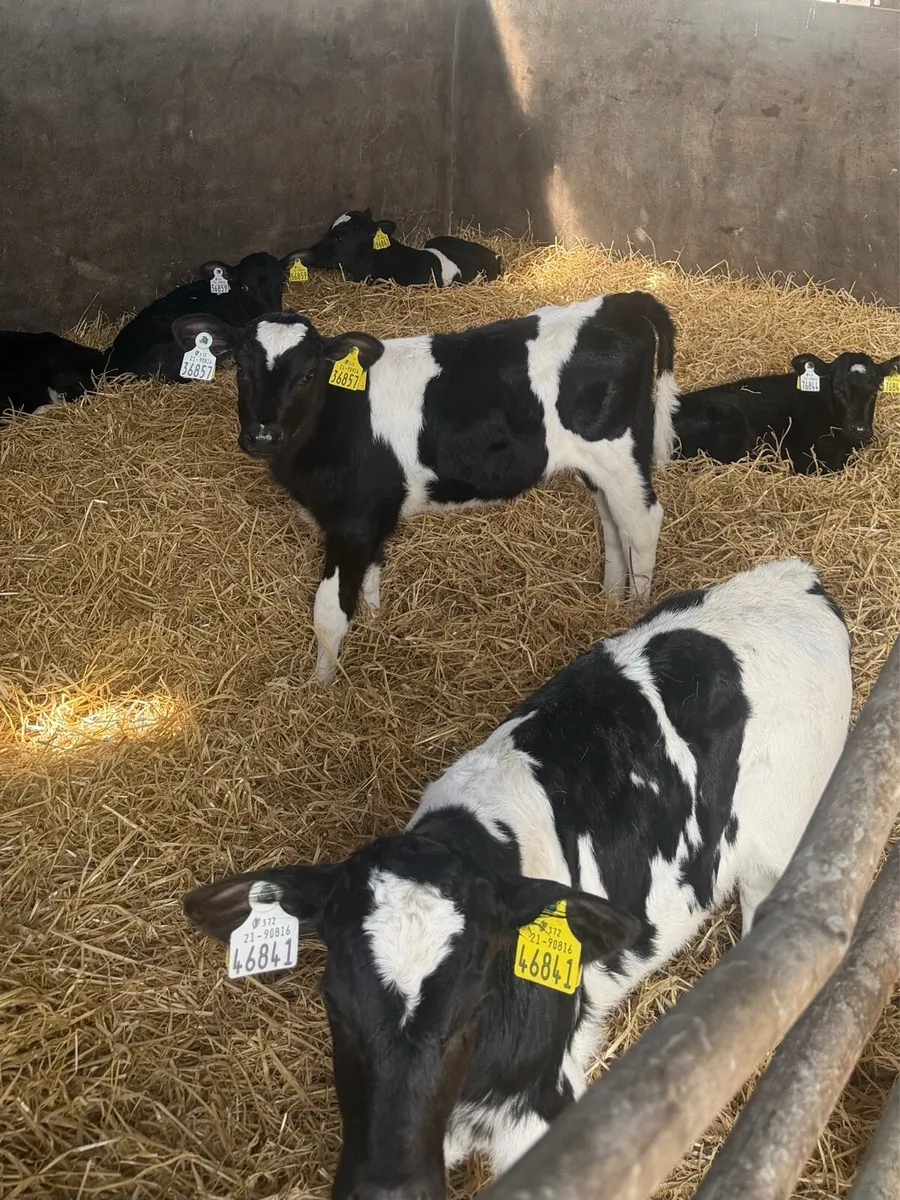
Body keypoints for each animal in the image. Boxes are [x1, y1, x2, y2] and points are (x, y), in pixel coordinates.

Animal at [171, 291, 678, 682]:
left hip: (620, 455)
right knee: (612, 524)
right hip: (597, 467)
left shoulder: (351, 521)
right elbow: (371, 582)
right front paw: (376, 629)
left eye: (309, 373)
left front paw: (320, 686)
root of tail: (620, 302)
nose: (262, 435)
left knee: (642, 523)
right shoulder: (375, 514)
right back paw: (609, 600)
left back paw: (635, 610)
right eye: (241, 368)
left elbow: (329, 612)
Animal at [184, 558, 852, 1200]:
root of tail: (797, 577)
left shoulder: (546, 1110)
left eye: (473, 1000)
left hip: (787, 845)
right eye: (333, 1002)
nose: (387, 1188)